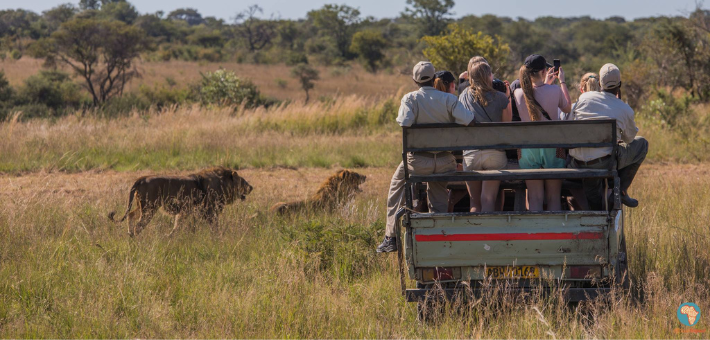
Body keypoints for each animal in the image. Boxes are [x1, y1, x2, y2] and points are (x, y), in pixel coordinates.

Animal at [110, 167, 254, 236]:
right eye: (243, 181)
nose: (251, 187)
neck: (222, 183)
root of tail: (141, 178)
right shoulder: (209, 212)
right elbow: (215, 227)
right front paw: (218, 238)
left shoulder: (185, 211)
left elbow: (177, 226)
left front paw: (169, 237)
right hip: (149, 208)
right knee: (138, 226)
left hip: (142, 207)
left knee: (130, 215)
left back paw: (130, 235)